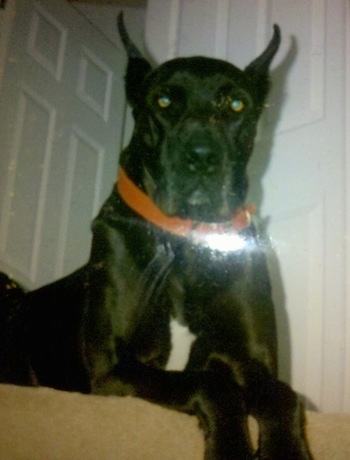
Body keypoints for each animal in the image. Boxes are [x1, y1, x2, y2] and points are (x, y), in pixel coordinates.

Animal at [0, 15, 312, 460]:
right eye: (163, 101)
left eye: (236, 105)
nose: (202, 158)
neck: (186, 242)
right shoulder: (113, 368)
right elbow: (210, 383)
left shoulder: (254, 360)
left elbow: (284, 394)